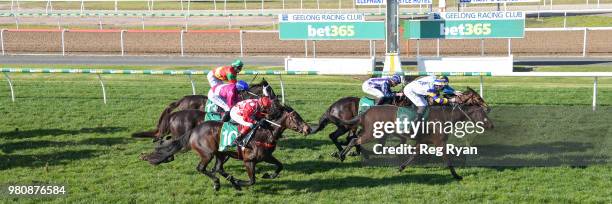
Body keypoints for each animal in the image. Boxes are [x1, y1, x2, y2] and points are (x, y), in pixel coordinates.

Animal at [142, 102, 310, 191]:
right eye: (295, 117)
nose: (308, 129)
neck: (264, 133)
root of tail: (194, 130)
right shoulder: (249, 160)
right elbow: (252, 181)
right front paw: (239, 182)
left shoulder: (266, 156)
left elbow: (280, 166)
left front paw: (268, 175)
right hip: (207, 153)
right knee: (202, 168)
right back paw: (218, 183)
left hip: (221, 153)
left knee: (217, 168)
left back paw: (228, 179)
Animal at [334, 87, 492, 179]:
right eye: (478, 99)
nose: (491, 124)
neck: (444, 115)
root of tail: (367, 111)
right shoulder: (439, 142)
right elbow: (447, 159)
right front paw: (456, 175)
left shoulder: (423, 142)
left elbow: (414, 155)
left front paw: (400, 168)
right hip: (373, 133)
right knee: (355, 140)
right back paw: (342, 154)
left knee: (355, 139)